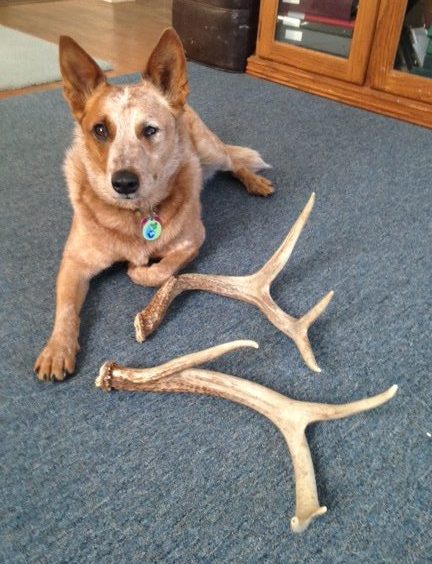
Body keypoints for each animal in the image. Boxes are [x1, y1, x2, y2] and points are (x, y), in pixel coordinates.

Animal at [34, 25, 274, 378]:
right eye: (100, 130)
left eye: (149, 130)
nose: (123, 182)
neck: (136, 215)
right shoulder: (74, 263)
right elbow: (64, 308)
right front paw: (56, 349)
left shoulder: (193, 240)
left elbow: (159, 273)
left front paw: (138, 269)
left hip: (210, 150)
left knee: (234, 161)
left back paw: (255, 182)